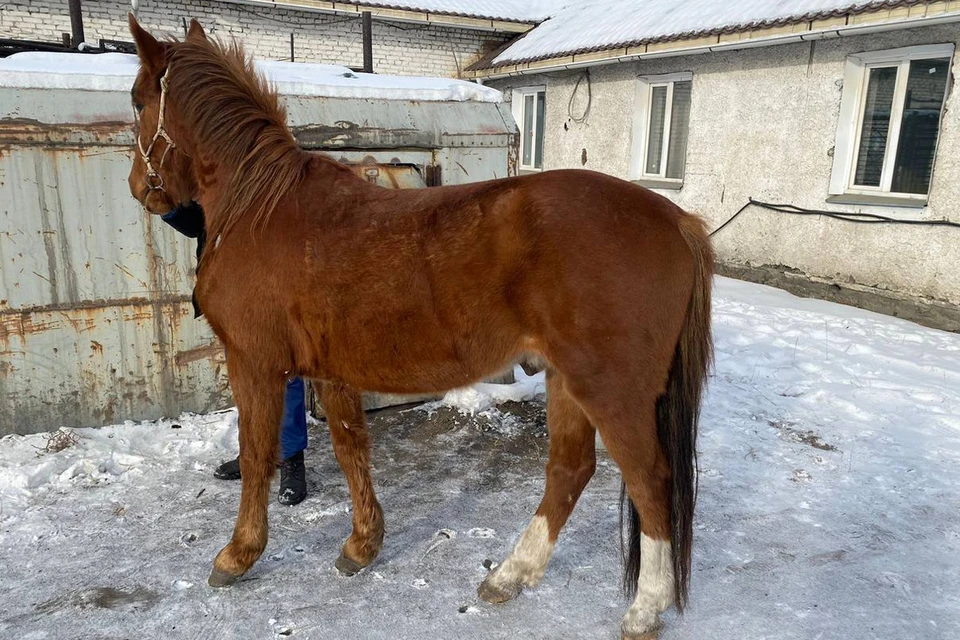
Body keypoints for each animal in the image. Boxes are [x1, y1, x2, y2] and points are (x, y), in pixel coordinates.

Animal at [125, 16, 712, 640]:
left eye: (137, 100)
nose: (140, 187)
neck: (260, 207)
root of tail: (676, 218)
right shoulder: (329, 370)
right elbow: (350, 447)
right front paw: (362, 546)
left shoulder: (255, 362)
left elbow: (259, 453)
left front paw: (238, 554)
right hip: (566, 380)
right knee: (569, 470)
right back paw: (510, 576)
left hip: (609, 389)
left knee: (650, 480)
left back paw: (644, 608)